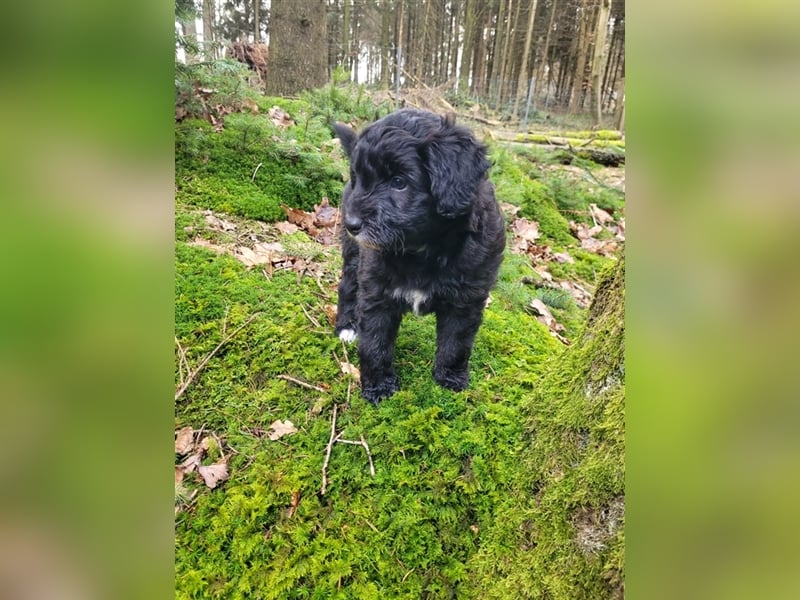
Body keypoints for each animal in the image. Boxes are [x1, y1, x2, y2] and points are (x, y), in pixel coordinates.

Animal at [334, 110, 504, 406]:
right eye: (359, 179)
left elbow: (456, 342)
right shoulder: (376, 288)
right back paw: (347, 327)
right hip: (355, 256)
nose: (351, 224)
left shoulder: (467, 298)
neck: (423, 248)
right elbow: (375, 342)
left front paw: (450, 379)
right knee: (347, 287)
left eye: (399, 182)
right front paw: (378, 387)